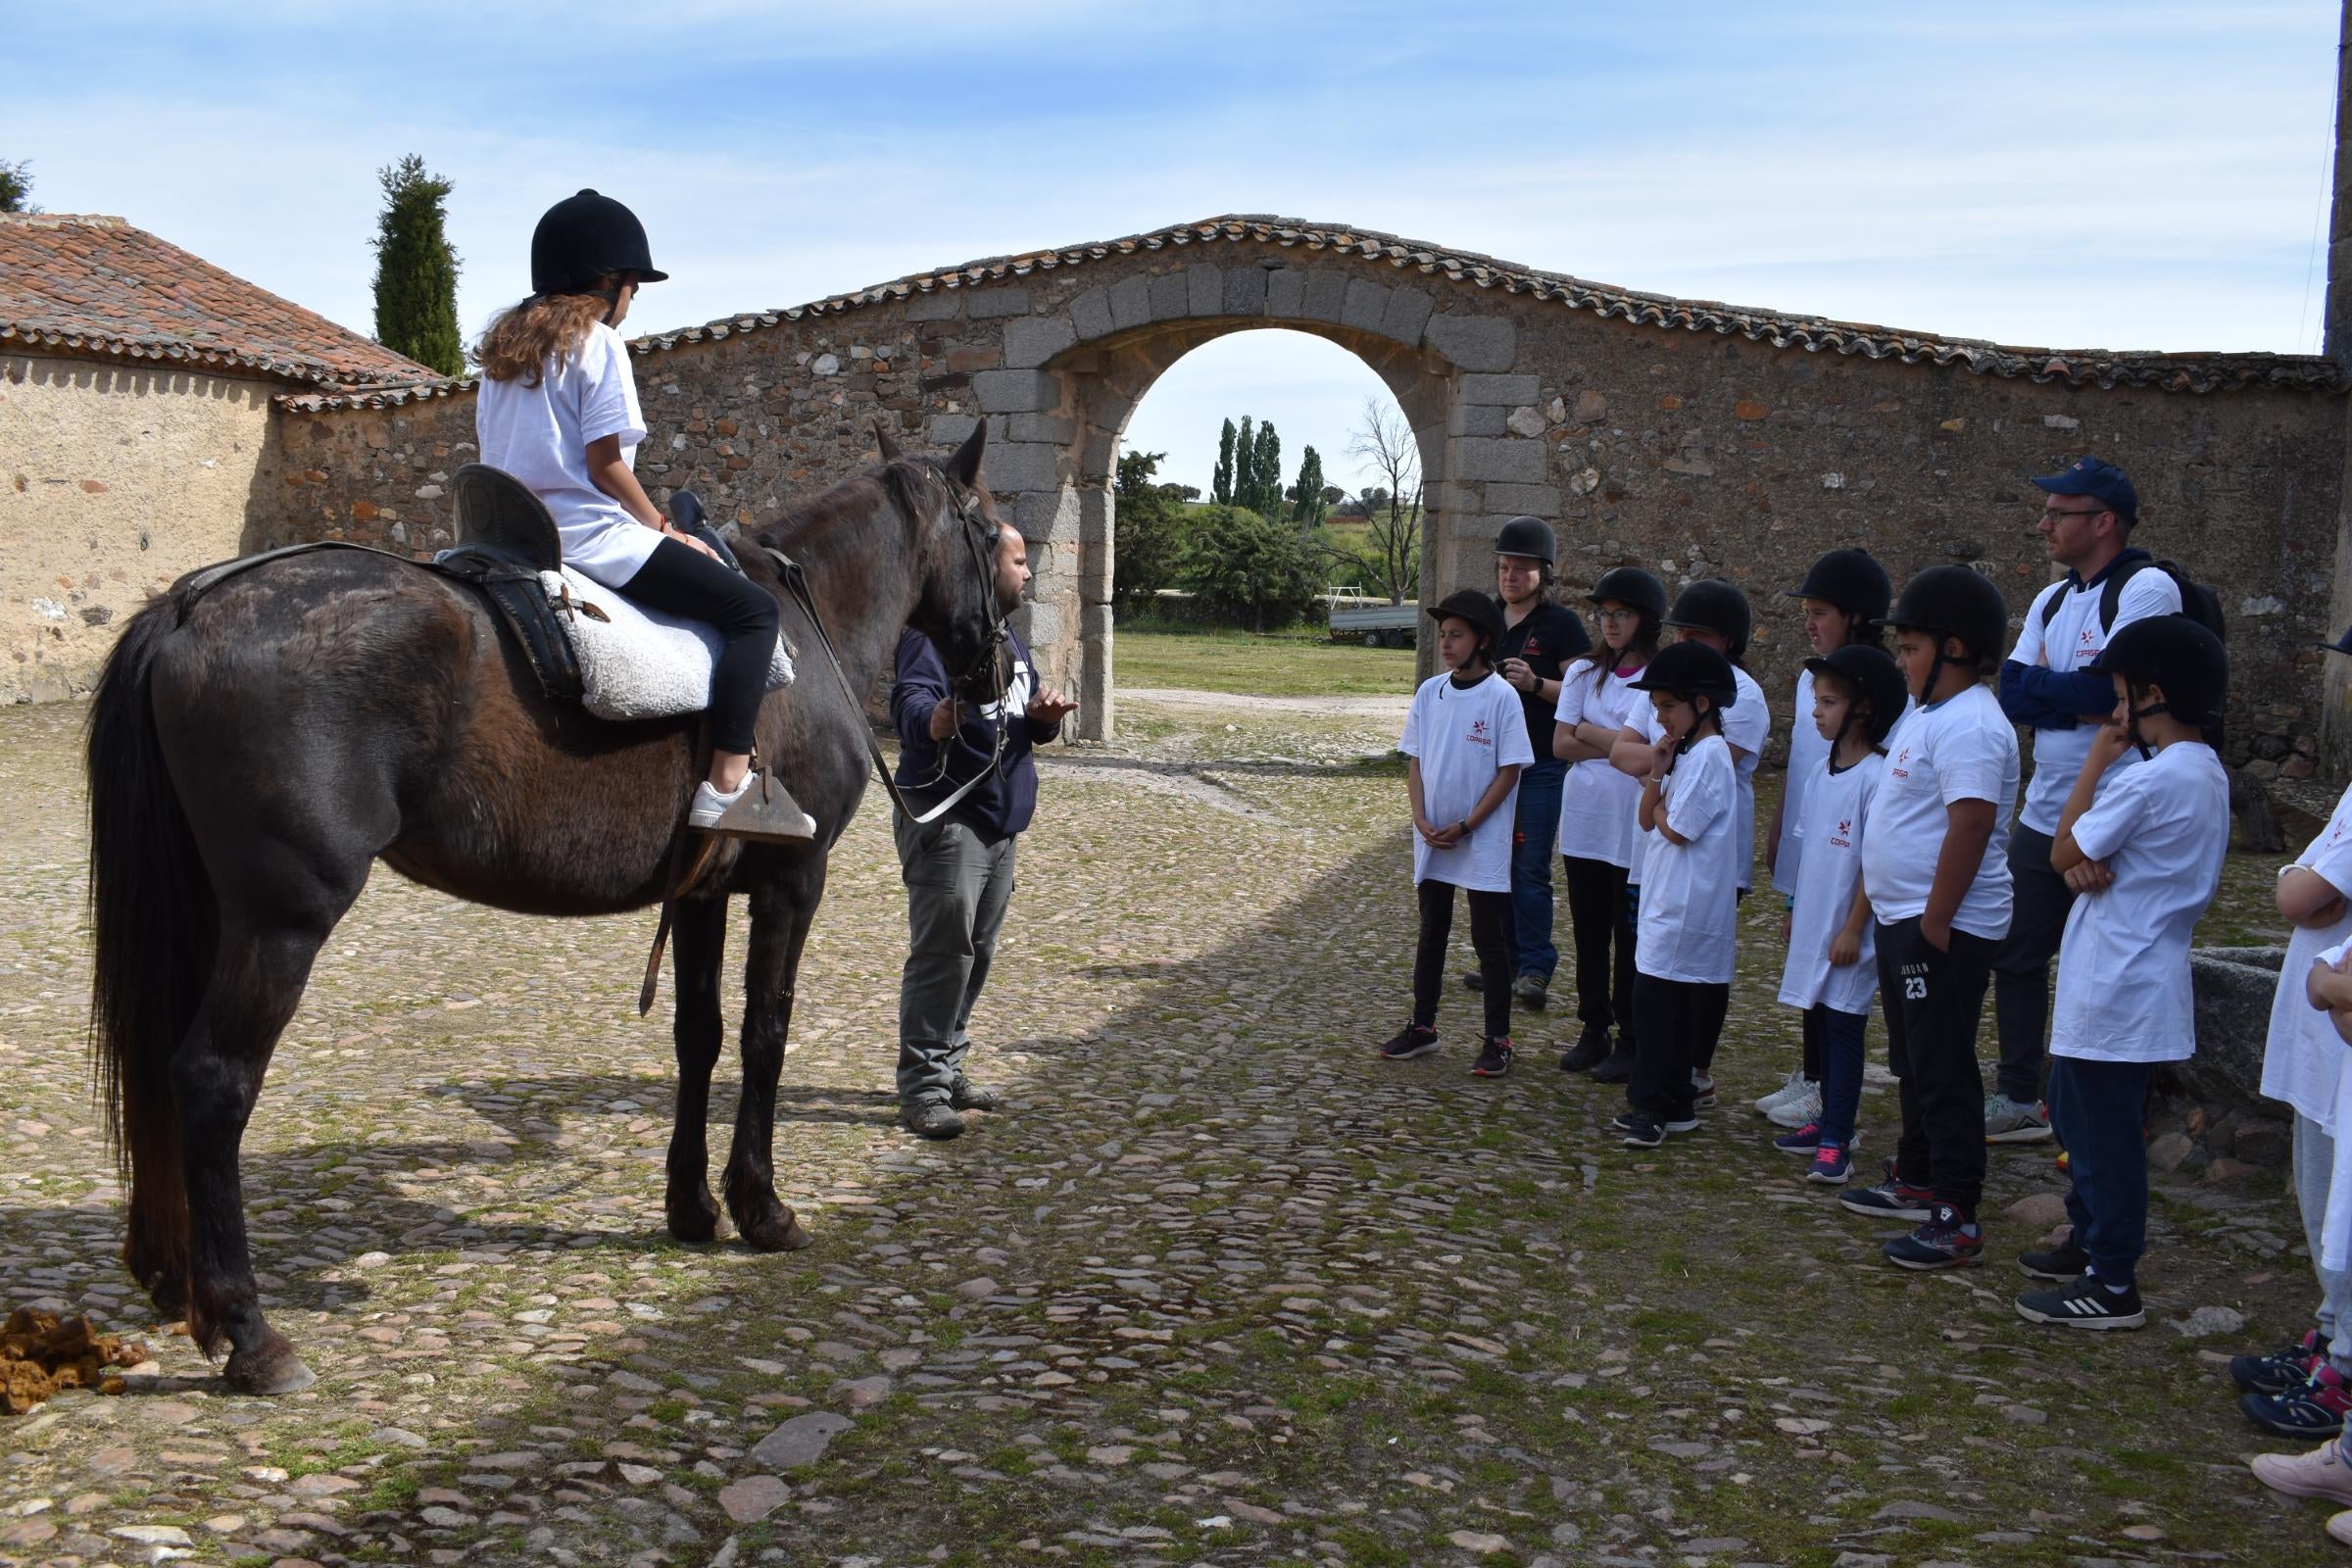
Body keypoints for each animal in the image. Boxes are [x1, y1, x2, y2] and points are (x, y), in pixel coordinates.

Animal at [80, 422, 1002, 1392]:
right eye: (991, 532)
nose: (996, 668)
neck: (803, 616)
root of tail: (191, 606)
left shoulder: (703, 894)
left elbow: (700, 1037)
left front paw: (690, 1206)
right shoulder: (793, 881)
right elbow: (764, 1036)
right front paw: (762, 1207)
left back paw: (170, 1278)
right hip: (281, 922)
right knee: (211, 1079)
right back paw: (248, 1330)